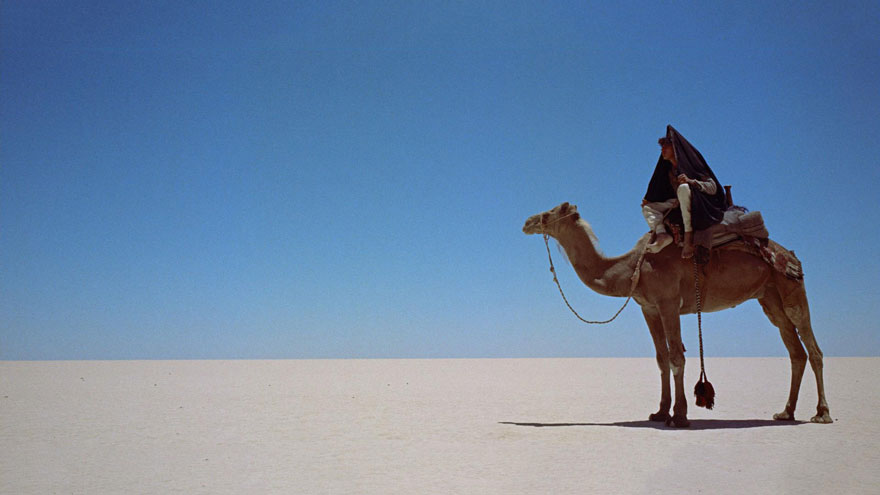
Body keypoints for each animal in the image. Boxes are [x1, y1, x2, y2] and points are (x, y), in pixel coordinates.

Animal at [522, 202, 832, 427]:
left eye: (549, 212)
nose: (527, 222)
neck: (632, 267)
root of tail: (791, 255)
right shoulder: (649, 307)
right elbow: (661, 358)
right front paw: (660, 412)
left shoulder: (669, 302)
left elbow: (676, 357)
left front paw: (680, 415)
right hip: (769, 297)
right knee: (795, 351)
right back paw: (785, 413)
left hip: (792, 288)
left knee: (813, 349)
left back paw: (822, 413)